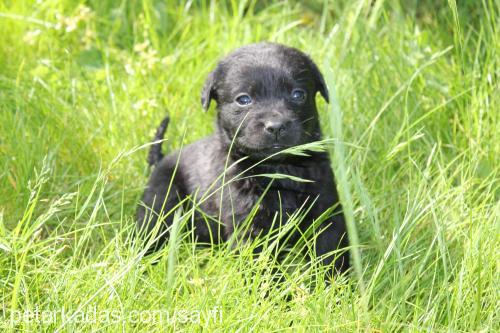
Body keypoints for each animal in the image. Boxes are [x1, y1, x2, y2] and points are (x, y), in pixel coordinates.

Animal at [136, 41, 348, 274]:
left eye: (298, 94)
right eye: (243, 99)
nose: (276, 127)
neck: (279, 171)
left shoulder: (327, 212)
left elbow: (330, 256)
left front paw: (334, 282)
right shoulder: (250, 226)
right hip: (160, 205)